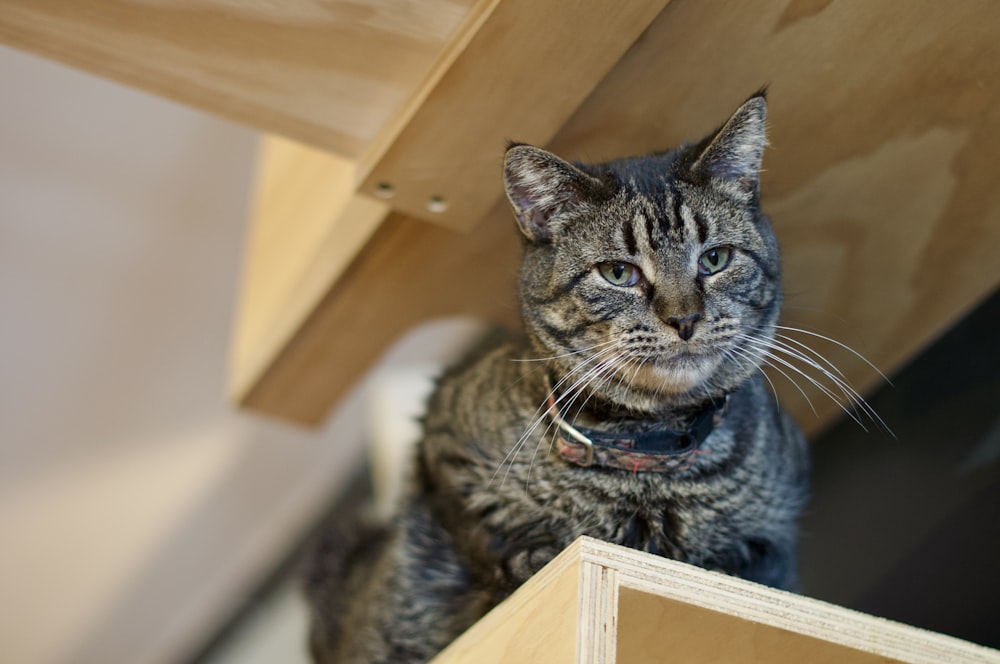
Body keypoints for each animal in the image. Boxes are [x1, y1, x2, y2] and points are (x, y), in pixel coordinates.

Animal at [304, 92, 812, 664]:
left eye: (715, 259)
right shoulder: (443, 439)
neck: (650, 464)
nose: (684, 319)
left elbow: (756, 562)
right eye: (618, 273)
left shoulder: (777, 533)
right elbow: (489, 539)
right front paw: (530, 556)